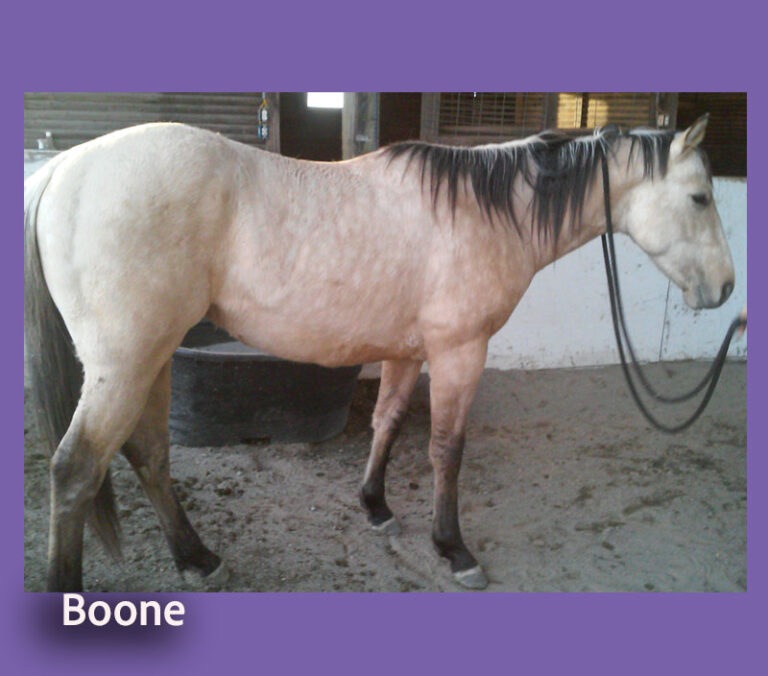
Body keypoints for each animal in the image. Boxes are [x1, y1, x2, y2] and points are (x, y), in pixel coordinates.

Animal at [24, 114, 735, 592]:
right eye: (700, 197)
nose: (726, 288)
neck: (482, 212)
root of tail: (63, 167)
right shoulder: (459, 353)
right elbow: (447, 448)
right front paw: (453, 549)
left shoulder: (408, 351)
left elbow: (386, 422)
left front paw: (376, 509)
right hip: (127, 363)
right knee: (77, 467)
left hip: (150, 359)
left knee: (148, 454)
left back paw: (198, 559)